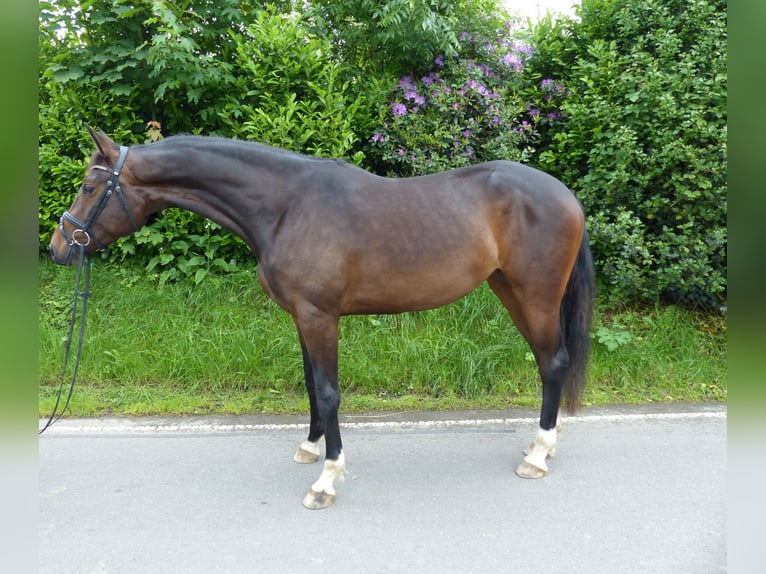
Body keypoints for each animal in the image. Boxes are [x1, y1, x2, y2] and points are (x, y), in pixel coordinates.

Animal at [49, 128, 600, 510]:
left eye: (88, 186)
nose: (59, 248)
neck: (287, 207)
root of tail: (567, 195)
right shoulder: (302, 315)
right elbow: (312, 386)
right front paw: (309, 448)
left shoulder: (320, 316)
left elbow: (331, 392)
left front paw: (326, 481)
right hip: (510, 290)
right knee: (548, 363)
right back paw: (540, 447)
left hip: (535, 295)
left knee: (552, 363)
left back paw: (537, 456)